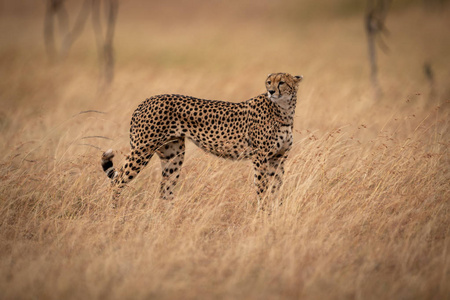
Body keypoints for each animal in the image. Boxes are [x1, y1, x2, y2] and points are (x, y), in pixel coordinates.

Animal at [102, 72, 302, 206]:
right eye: (269, 82)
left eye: (282, 82)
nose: (271, 91)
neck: (284, 111)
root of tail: (146, 101)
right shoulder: (260, 157)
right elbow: (262, 187)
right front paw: (263, 213)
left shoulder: (278, 157)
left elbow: (276, 187)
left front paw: (275, 210)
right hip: (142, 151)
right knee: (117, 181)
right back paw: (114, 213)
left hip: (173, 156)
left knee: (165, 190)